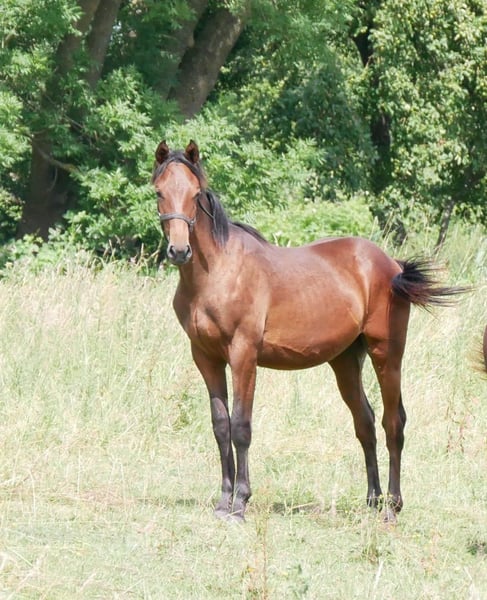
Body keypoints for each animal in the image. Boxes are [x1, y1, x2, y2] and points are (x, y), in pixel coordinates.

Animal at [152, 140, 462, 522]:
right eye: (159, 192)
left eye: (196, 194)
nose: (179, 251)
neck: (218, 273)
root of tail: (392, 265)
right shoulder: (206, 358)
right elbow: (221, 426)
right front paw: (223, 502)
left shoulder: (243, 355)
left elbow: (241, 426)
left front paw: (240, 503)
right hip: (346, 361)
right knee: (365, 423)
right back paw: (372, 500)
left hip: (387, 354)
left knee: (393, 422)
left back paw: (392, 506)